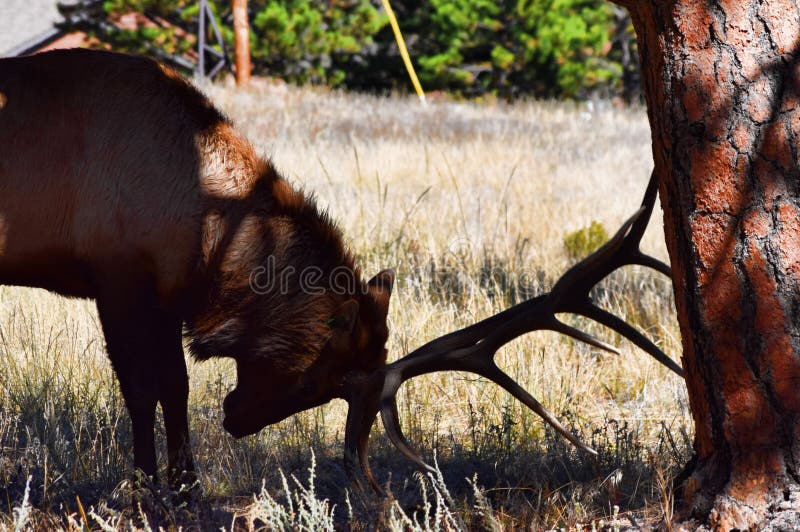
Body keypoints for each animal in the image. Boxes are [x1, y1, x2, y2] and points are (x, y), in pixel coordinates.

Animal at [0, 48, 681, 492]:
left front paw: (184, 485)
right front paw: (147, 488)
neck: (203, 233)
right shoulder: (116, 278)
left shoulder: (164, 295)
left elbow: (175, 387)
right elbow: (142, 389)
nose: (237, 421)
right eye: (320, 380)